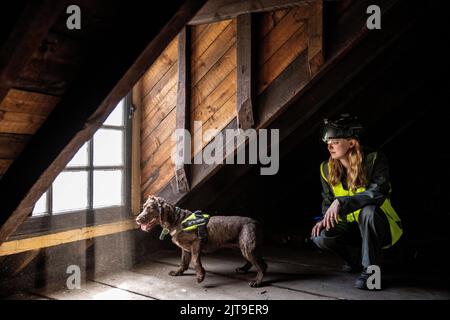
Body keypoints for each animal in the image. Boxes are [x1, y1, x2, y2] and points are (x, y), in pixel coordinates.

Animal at [134, 195, 268, 288]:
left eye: (151, 208)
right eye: (144, 207)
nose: (137, 219)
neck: (177, 220)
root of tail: (256, 222)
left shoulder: (196, 243)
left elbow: (195, 260)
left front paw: (200, 276)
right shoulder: (185, 248)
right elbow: (183, 262)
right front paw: (178, 272)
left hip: (247, 247)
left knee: (262, 266)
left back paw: (257, 281)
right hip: (244, 246)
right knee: (254, 262)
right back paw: (243, 269)